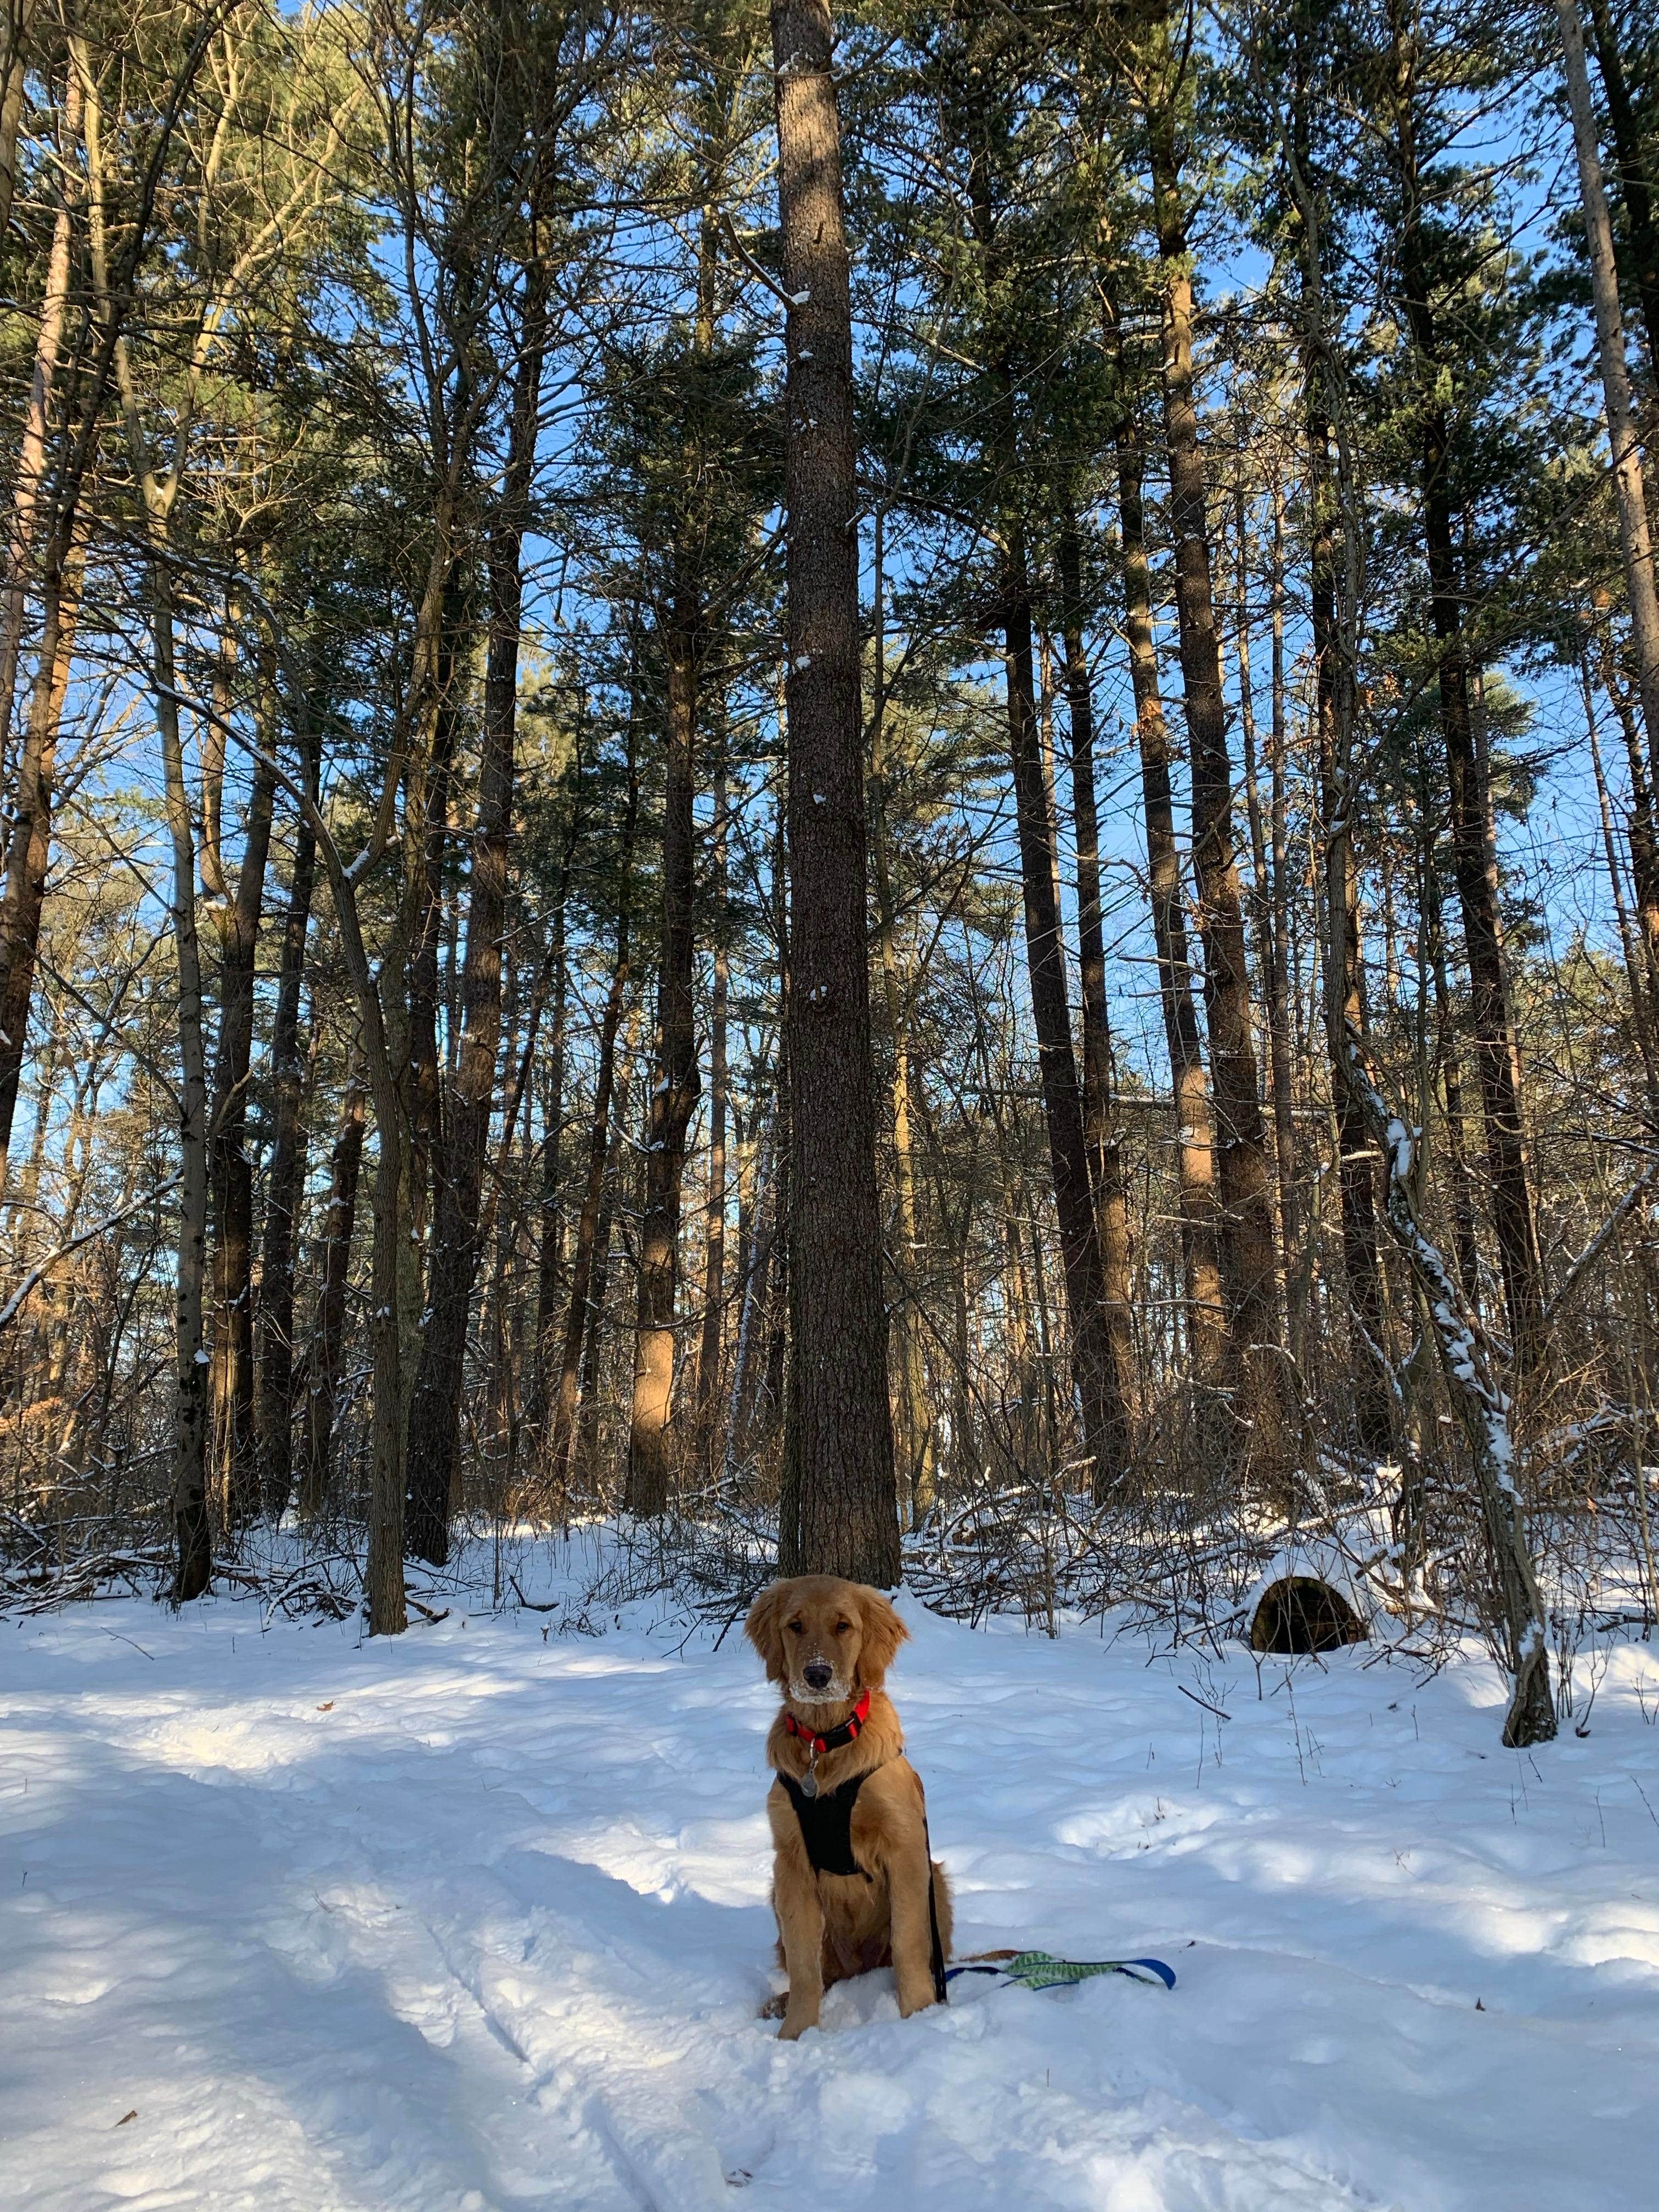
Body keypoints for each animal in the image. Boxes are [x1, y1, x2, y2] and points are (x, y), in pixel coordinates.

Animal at [747, 1575, 955, 2035]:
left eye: (843, 1626)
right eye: (796, 1625)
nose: (817, 1675)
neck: (824, 1742)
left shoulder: (906, 1850)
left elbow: (908, 1943)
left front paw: (919, 2016)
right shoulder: (791, 1864)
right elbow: (805, 1964)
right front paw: (796, 2035)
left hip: (938, 1882)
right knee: (824, 1972)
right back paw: (780, 2004)